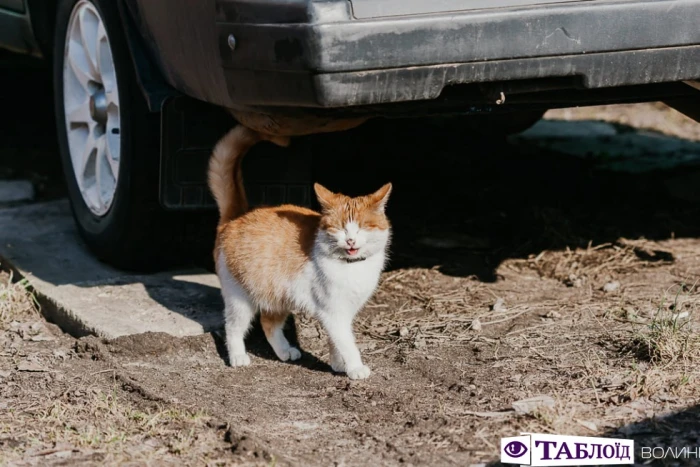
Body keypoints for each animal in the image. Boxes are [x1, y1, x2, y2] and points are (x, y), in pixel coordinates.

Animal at [208, 125, 394, 380]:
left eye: (363, 227)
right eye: (339, 227)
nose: (350, 240)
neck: (351, 266)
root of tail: (235, 218)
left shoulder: (345, 311)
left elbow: (336, 343)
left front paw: (338, 364)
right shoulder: (333, 313)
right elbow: (347, 343)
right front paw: (355, 367)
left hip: (278, 297)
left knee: (268, 323)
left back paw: (285, 351)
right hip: (240, 300)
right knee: (233, 327)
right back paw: (238, 356)